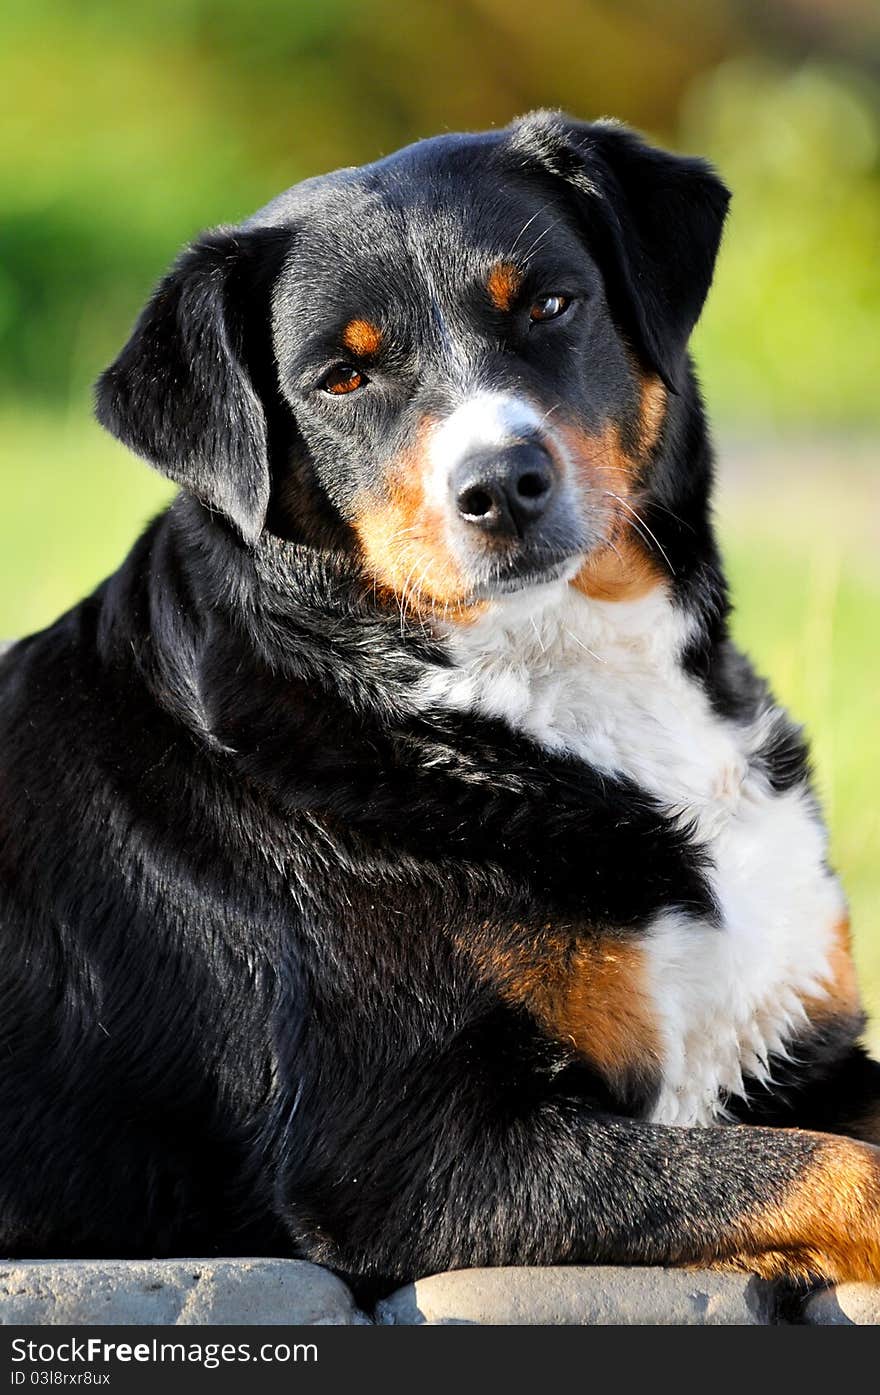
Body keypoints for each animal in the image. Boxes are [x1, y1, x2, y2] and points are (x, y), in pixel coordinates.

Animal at [1, 111, 880, 1305]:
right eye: (341, 376)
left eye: (548, 304)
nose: (501, 484)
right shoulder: (405, 1156)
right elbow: (832, 1171)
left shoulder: (801, 1041)